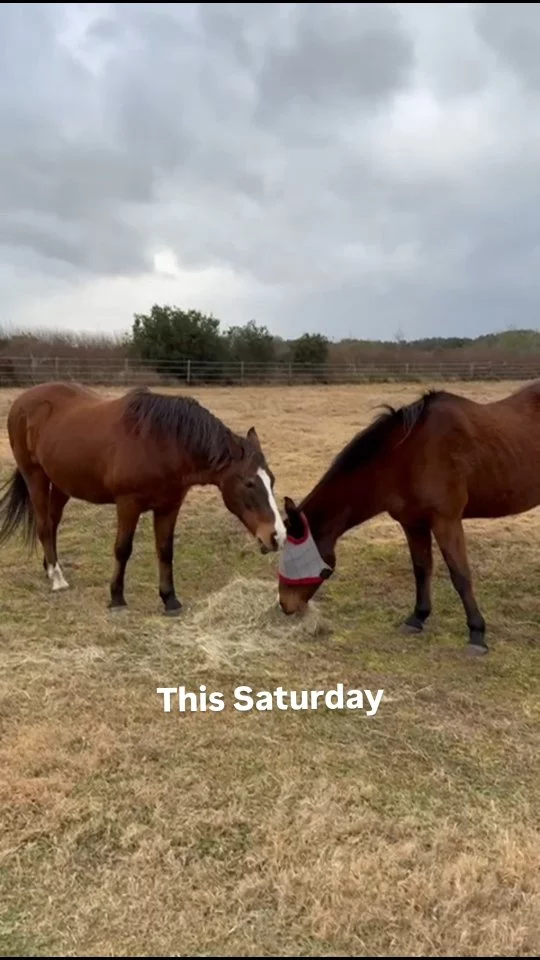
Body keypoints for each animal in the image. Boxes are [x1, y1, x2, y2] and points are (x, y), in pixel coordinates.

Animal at [0, 381, 286, 614]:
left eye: (272, 480)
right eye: (249, 483)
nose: (278, 536)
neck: (163, 444)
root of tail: (22, 401)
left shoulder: (169, 507)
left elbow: (165, 551)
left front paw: (170, 599)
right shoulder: (128, 504)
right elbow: (122, 548)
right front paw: (116, 598)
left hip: (61, 483)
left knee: (52, 523)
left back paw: (51, 569)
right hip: (35, 476)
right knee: (44, 525)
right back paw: (58, 579)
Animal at [277, 380, 540, 655]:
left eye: (295, 559)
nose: (285, 605)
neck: (406, 457)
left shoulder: (446, 522)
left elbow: (460, 575)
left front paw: (477, 633)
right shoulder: (412, 523)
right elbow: (421, 569)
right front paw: (417, 618)